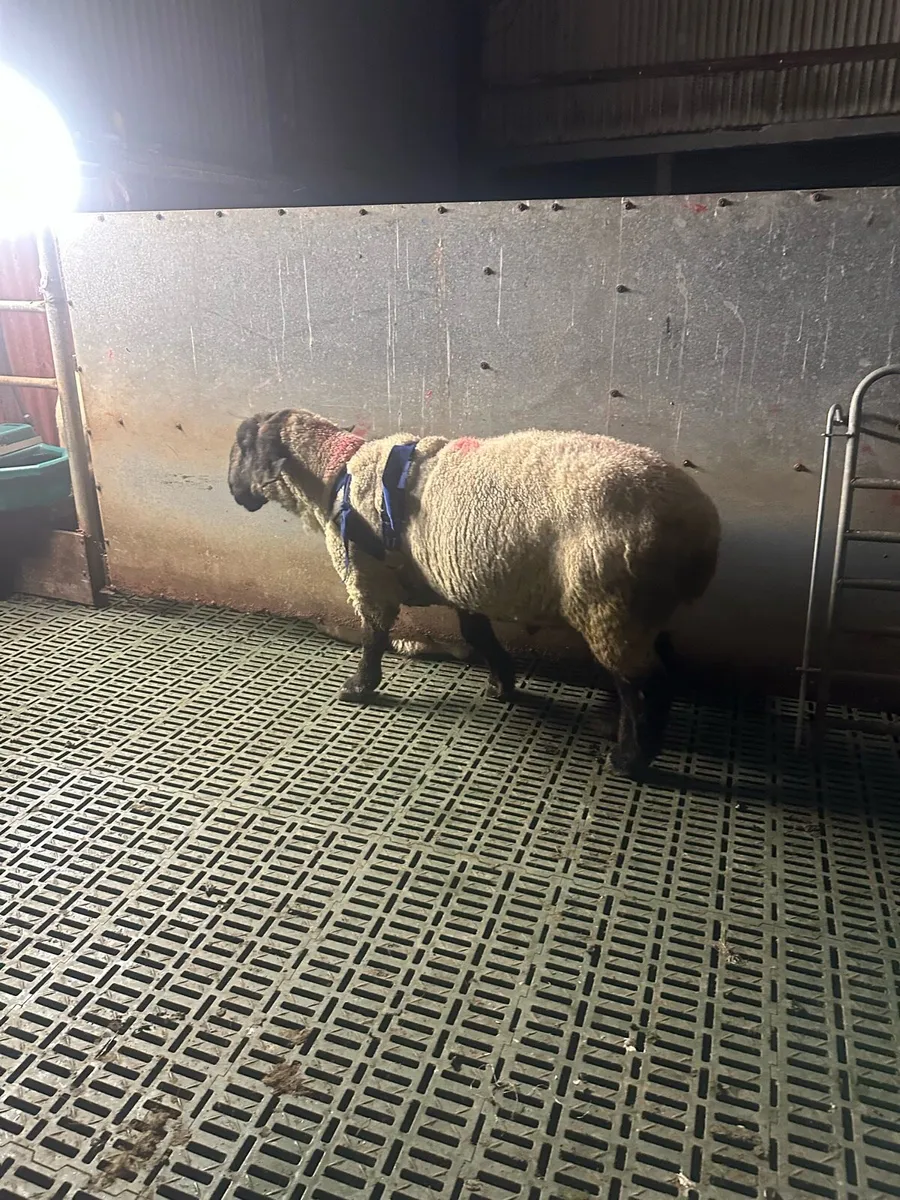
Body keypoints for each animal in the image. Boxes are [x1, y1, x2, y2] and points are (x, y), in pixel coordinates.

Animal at [228, 409, 721, 777]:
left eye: (240, 447)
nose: (233, 491)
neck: (334, 472)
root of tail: (699, 524)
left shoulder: (369, 580)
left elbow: (373, 637)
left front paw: (359, 688)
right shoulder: (452, 579)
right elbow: (478, 635)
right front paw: (502, 685)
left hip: (608, 599)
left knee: (645, 681)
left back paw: (631, 758)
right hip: (638, 604)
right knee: (654, 663)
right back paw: (614, 724)